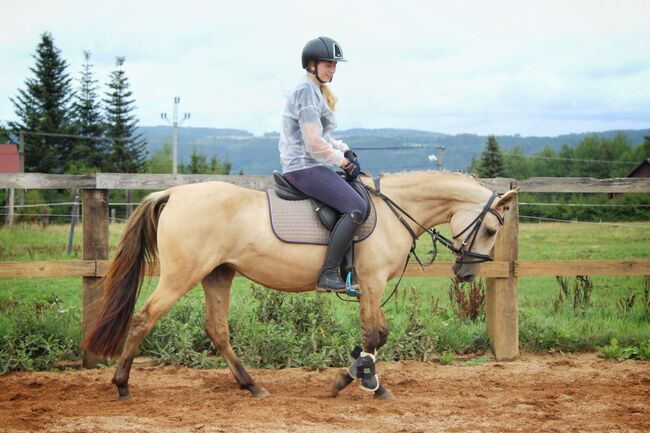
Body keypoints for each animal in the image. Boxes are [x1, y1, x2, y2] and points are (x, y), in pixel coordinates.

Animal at [82, 170, 516, 400]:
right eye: (490, 229)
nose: (467, 274)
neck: (395, 210)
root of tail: (173, 192)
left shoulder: (369, 287)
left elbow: (371, 335)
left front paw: (353, 376)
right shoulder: (373, 281)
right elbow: (375, 335)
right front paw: (367, 383)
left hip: (217, 275)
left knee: (217, 330)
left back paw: (252, 385)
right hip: (181, 275)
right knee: (144, 319)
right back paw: (122, 385)